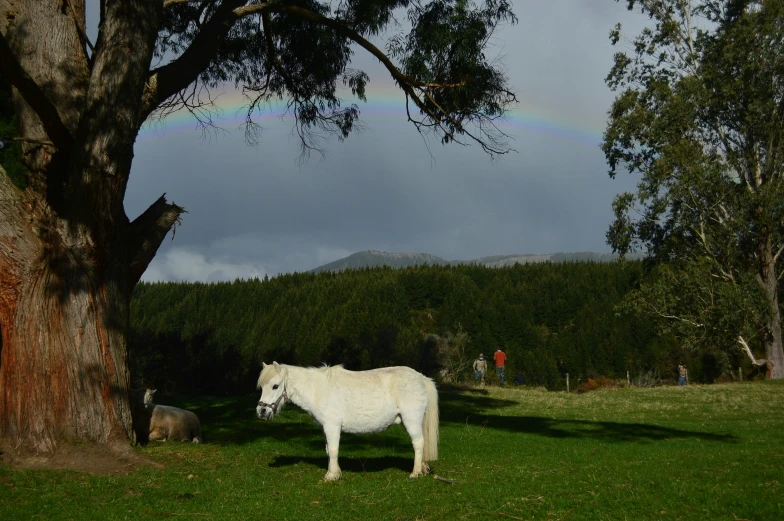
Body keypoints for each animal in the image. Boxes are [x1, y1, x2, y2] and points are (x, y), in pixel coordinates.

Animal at [258, 362, 440, 480]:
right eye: (261, 387)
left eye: (275, 386)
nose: (261, 411)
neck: (318, 389)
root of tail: (421, 378)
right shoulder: (326, 428)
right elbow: (328, 450)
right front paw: (335, 472)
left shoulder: (332, 426)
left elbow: (333, 450)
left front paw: (331, 475)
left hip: (411, 420)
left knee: (418, 443)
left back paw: (415, 472)